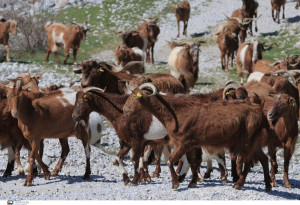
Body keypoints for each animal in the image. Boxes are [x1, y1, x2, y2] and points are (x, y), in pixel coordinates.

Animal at [123, 82, 272, 191]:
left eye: (136, 97)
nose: (125, 110)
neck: (175, 112)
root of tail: (259, 112)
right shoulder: (190, 144)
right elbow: (192, 162)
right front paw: (192, 182)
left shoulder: (183, 142)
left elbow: (171, 161)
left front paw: (175, 183)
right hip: (253, 142)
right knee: (264, 159)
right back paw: (268, 185)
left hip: (246, 141)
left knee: (249, 161)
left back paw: (239, 184)